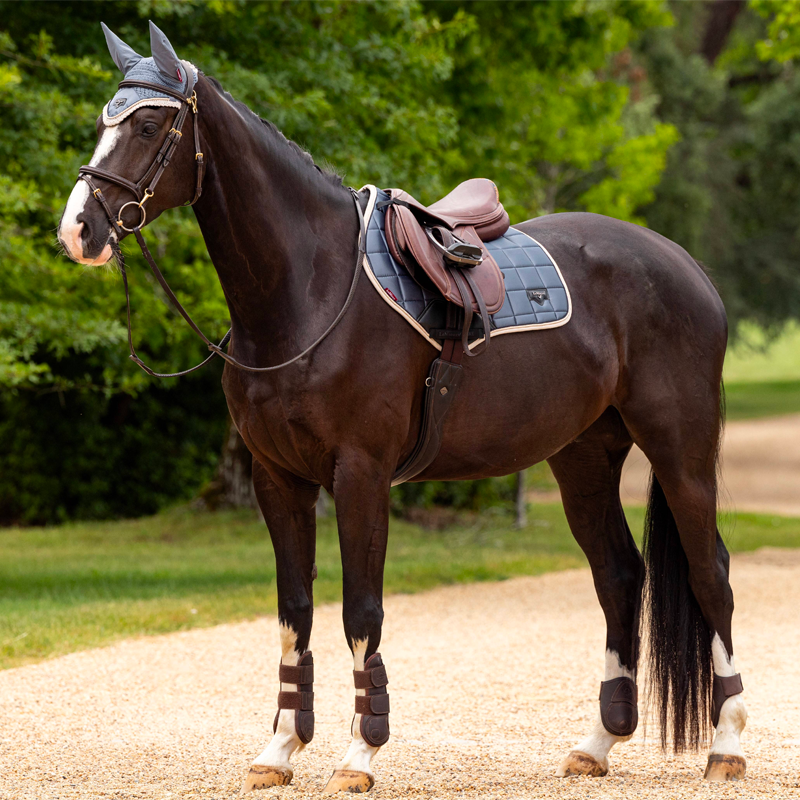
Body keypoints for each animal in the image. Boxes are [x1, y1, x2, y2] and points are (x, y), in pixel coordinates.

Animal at [57, 20, 752, 792]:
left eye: (150, 125)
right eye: (103, 123)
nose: (78, 230)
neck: (312, 288)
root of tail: (686, 267)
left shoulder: (360, 474)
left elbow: (361, 611)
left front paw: (359, 754)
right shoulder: (278, 479)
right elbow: (294, 609)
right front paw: (280, 749)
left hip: (680, 446)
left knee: (710, 575)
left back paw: (726, 746)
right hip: (583, 457)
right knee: (620, 575)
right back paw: (598, 744)